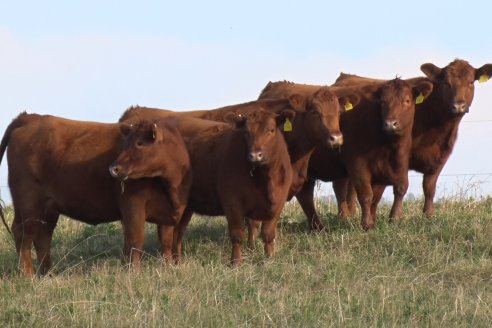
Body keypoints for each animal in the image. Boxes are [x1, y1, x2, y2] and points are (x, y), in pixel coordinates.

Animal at [0, 111, 191, 276]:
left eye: (139, 143)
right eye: (125, 144)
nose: (114, 168)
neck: (171, 185)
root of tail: (30, 117)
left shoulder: (166, 213)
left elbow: (166, 241)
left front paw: (168, 267)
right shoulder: (133, 205)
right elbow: (135, 241)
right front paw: (134, 272)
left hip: (48, 207)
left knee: (42, 236)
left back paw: (48, 274)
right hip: (28, 203)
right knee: (23, 233)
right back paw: (28, 275)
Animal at [330, 59, 492, 218]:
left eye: (470, 82)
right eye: (446, 83)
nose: (458, 106)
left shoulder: (441, 156)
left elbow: (429, 187)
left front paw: (428, 216)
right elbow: (401, 185)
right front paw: (396, 216)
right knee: (341, 185)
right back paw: (344, 216)